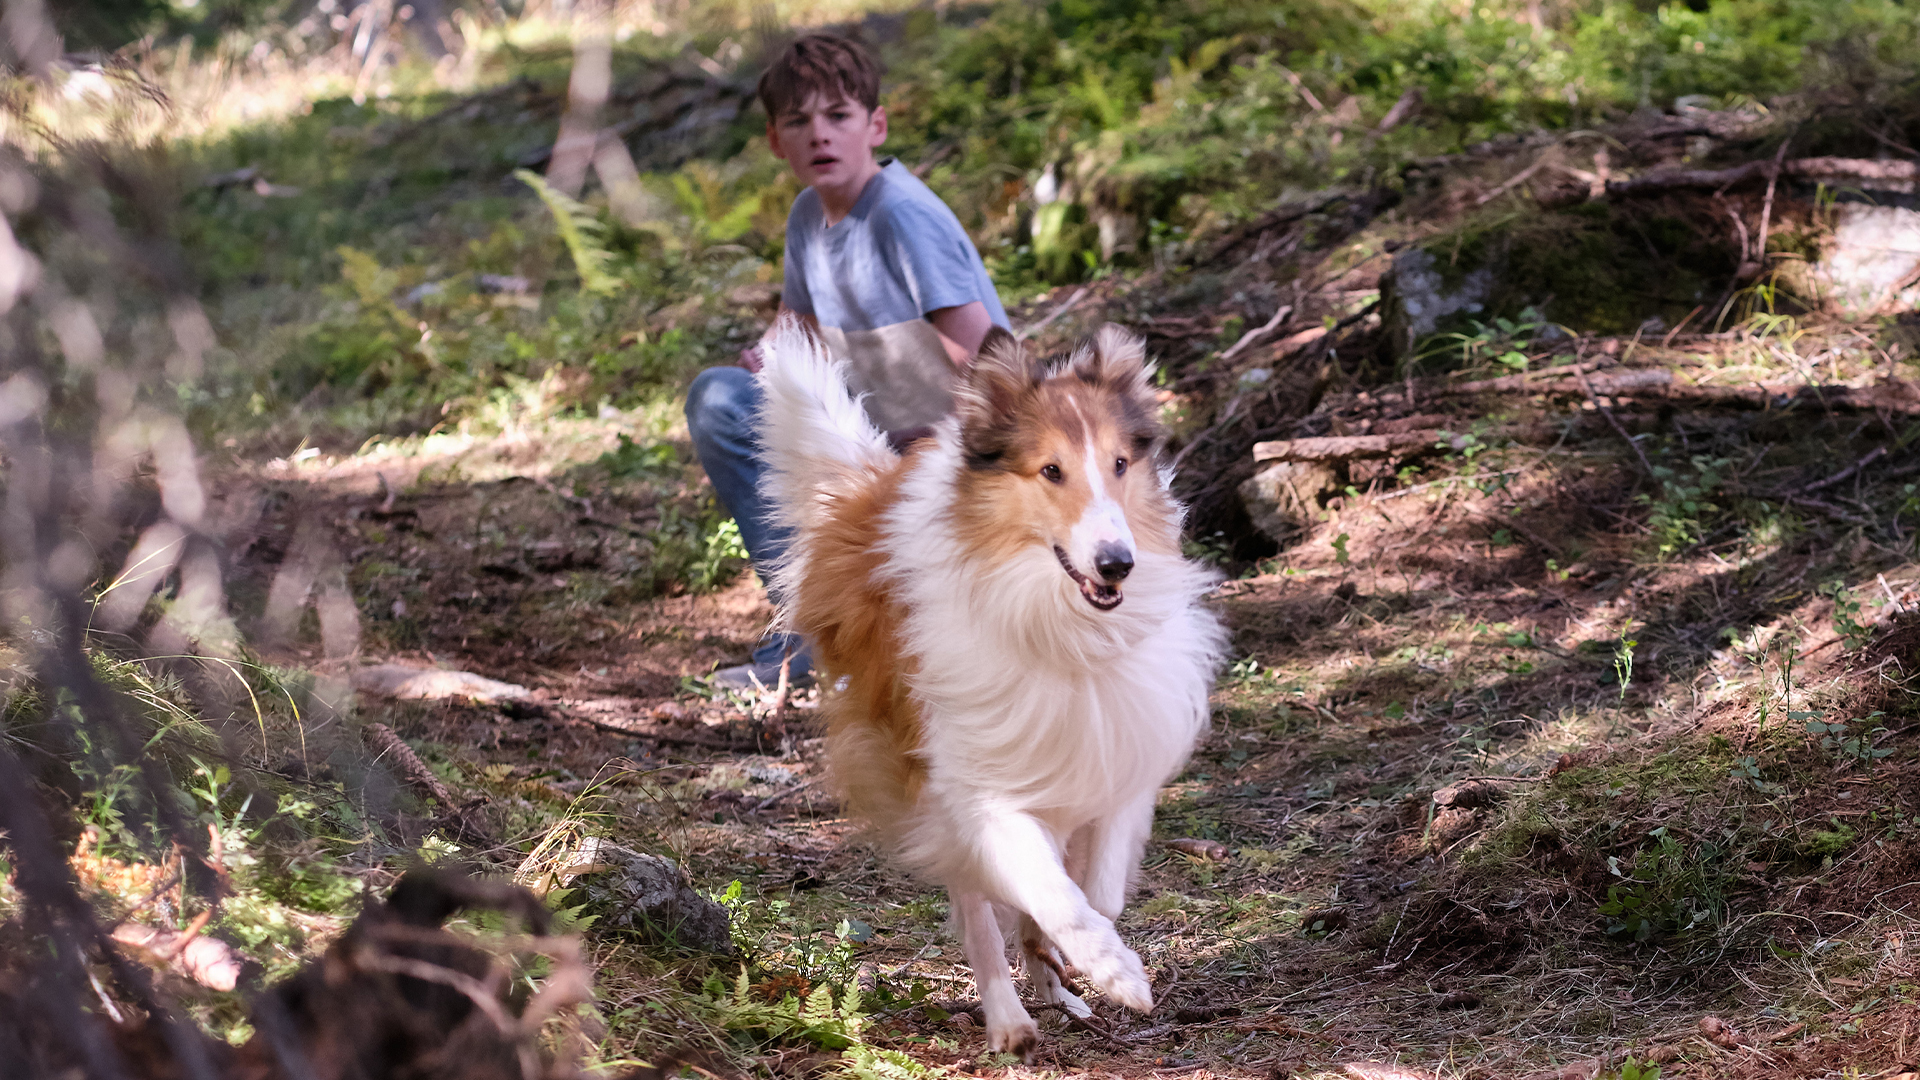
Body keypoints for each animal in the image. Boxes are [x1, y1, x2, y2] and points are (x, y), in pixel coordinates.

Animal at [756, 315, 1221, 1053]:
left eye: (1121, 464)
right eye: (1051, 470)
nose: (1117, 564)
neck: (1057, 621)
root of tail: (868, 497)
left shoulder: (1120, 747)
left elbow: (1099, 889)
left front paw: (1081, 956)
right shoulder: (979, 788)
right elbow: (1053, 893)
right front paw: (1115, 970)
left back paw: (1053, 983)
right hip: (928, 775)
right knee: (977, 912)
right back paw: (1010, 1020)